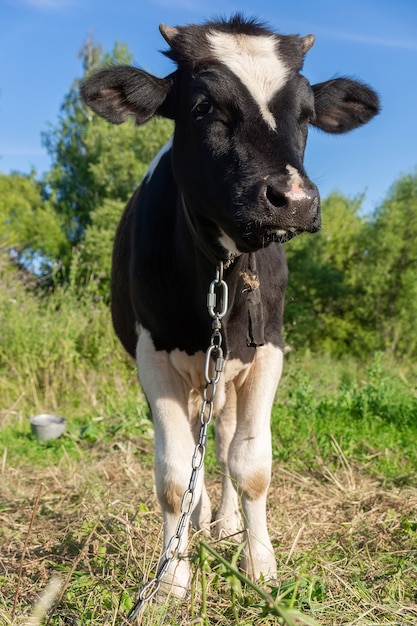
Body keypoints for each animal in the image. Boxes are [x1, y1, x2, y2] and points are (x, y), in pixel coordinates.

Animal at [79, 14, 378, 596]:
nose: (293, 199)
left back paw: (224, 523)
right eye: (203, 107)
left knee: (218, 446)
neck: (220, 270)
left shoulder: (269, 351)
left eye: (307, 115)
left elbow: (250, 462)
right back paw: (197, 525)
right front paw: (172, 576)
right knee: (195, 457)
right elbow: (175, 477)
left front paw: (259, 563)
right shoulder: (152, 357)